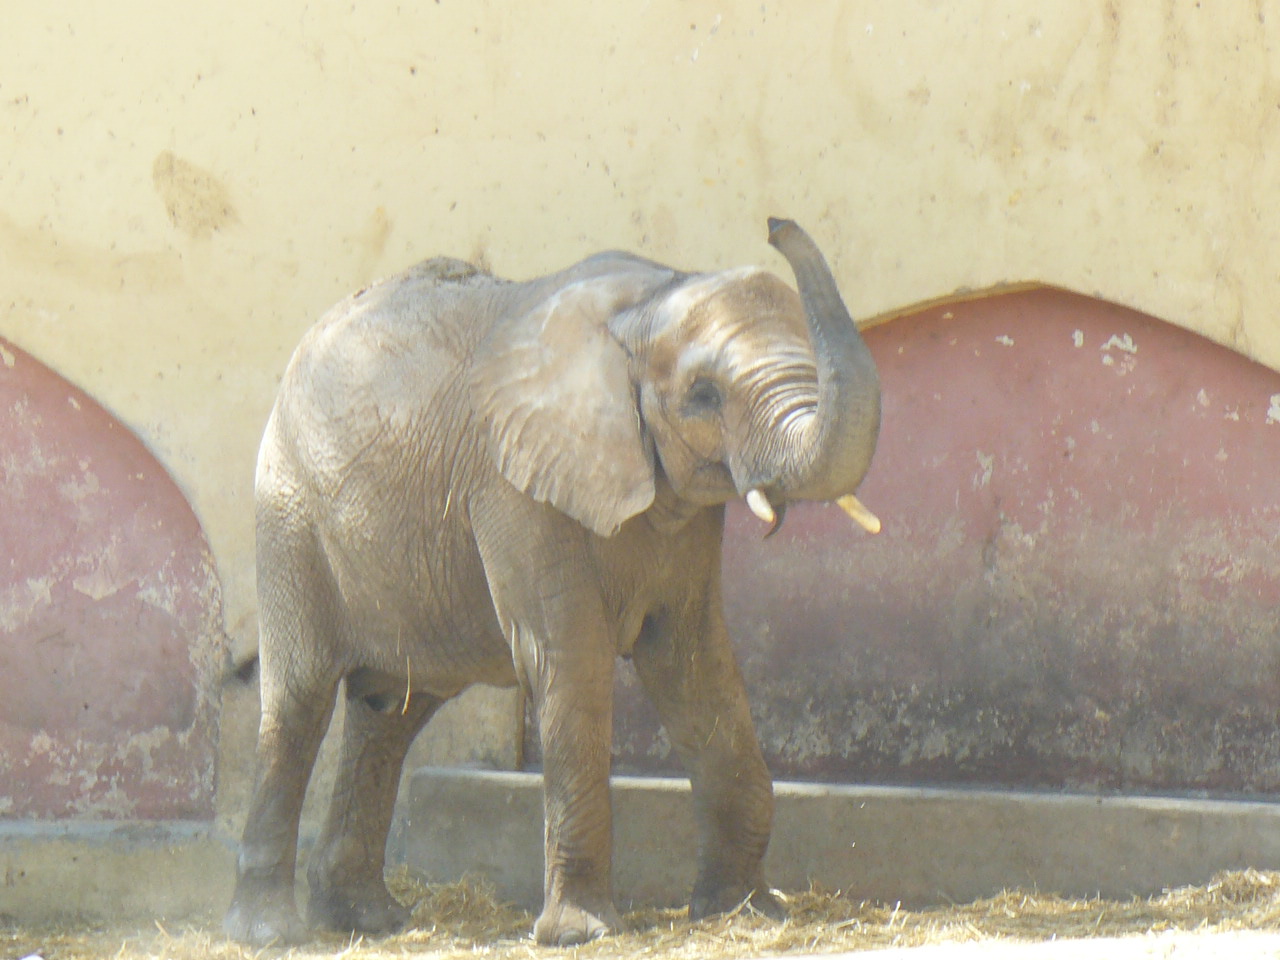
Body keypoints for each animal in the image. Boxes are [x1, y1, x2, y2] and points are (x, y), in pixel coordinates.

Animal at [224, 218, 882, 947]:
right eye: (703, 395)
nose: (777, 225)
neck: (648, 301)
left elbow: (694, 664)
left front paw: (745, 910)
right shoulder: (511, 487)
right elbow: (570, 658)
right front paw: (583, 934)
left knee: (390, 709)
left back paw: (369, 920)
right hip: (289, 514)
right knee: (300, 701)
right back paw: (269, 933)